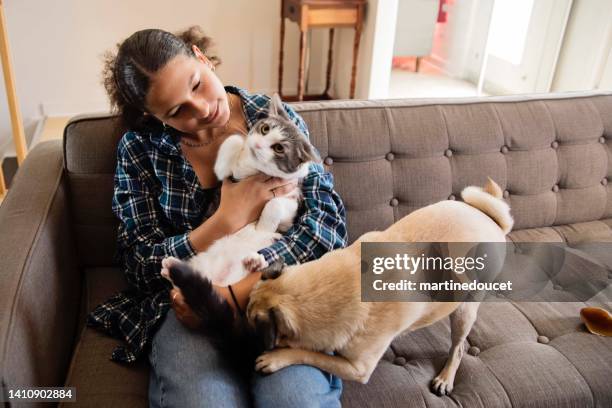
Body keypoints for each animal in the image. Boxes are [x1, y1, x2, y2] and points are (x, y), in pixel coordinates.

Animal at [160, 93, 320, 286]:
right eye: (265, 129)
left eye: (279, 148)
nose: (257, 145)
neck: (254, 168)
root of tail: (217, 279)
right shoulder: (232, 176)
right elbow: (233, 141)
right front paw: (227, 158)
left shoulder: (291, 199)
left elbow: (277, 204)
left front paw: (264, 227)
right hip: (202, 261)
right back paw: (171, 267)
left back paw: (254, 262)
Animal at [246, 178, 512, 396]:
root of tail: (491, 219)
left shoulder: (356, 368)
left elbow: (310, 354)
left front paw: (276, 358)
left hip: (465, 310)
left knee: (458, 348)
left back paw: (445, 378)